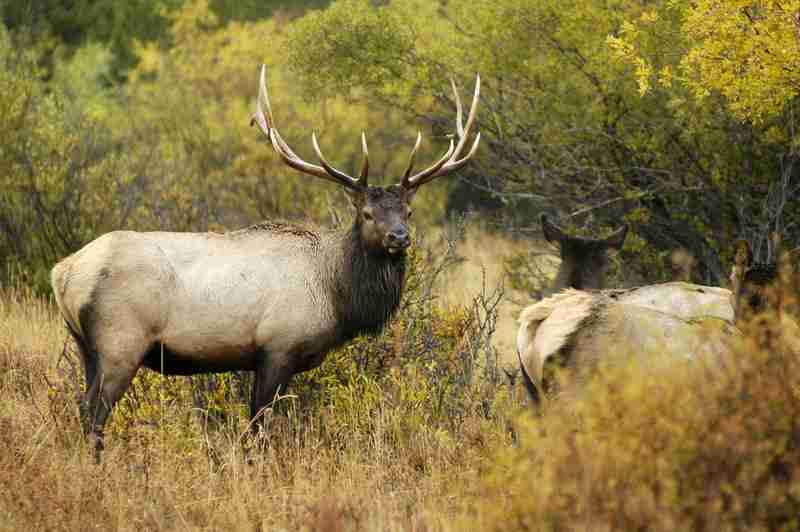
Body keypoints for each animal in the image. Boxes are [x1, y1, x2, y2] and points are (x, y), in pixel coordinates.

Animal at [50, 65, 481, 460]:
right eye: (367, 214)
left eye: (407, 211)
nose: (399, 237)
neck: (336, 295)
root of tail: (63, 272)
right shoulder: (277, 347)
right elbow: (257, 426)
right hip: (120, 341)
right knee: (93, 411)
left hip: (86, 346)